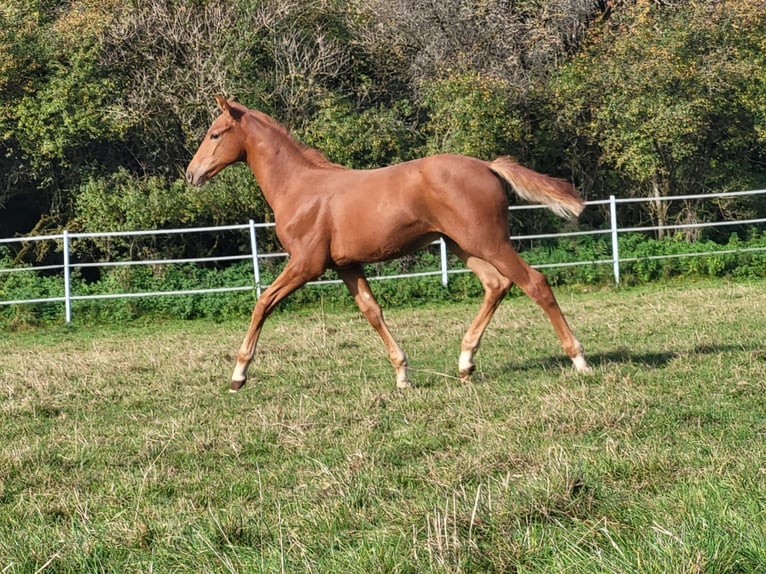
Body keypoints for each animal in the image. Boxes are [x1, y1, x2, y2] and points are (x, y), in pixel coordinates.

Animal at [188, 97, 592, 394]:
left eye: (214, 134)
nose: (192, 174)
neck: (299, 187)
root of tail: (487, 166)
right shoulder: (346, 265)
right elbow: (372, 311)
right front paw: (402, 374)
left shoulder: (306, 263)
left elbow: (263, 302)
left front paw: (238, 375)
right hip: (462, 244)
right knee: (497, 284)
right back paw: (465, 362)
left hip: (489, 241)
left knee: (534, 282)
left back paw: (579, 360)